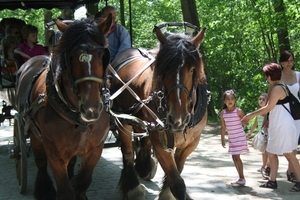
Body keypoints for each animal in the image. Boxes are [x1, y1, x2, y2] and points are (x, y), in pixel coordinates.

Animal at [14, 15, 112, 200]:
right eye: (72, 56)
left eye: (103, 55)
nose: (91, 108)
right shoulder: (54, 151)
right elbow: (65, 190)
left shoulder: (96, 149)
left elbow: (82, 182)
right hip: (33, 133)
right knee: (40, 162)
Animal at [109, 26, 209, 200]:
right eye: (164, 69)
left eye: (192, 70)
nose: (178, 119)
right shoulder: (161, 142)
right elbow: (177, 183)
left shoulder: (191, 143)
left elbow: (178, 171)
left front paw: (166, 192)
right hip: (122, 120)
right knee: (127, 153)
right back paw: (133, 187)